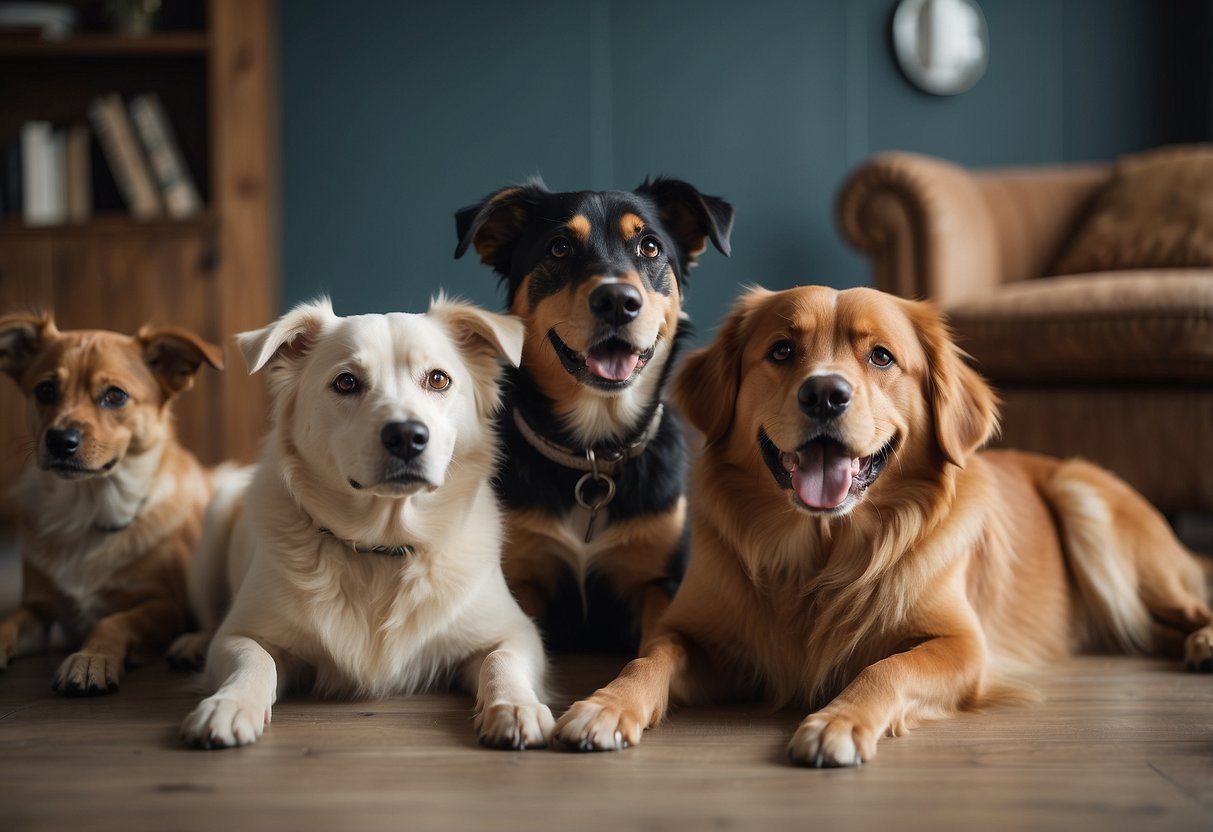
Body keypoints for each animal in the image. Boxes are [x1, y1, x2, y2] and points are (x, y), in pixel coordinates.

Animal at [0, 312, 223, 698]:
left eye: (115, 396)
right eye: (45, 390)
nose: (60, 440)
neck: (88, 509)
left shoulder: (164, 605)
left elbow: (114, 620)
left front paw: (92, 658)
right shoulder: (38, 607)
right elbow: (8, 620)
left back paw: (194, 645)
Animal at [175, 298, 555, 751]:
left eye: (438, 379)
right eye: (346, 382)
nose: (407, 436)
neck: (383, 545)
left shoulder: (516, 631)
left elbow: (502, 658)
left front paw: (514, 706)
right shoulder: (240, 633)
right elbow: (254, 658)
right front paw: (230, 704)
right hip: (212, 529)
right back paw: (192, 641)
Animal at [456, 179, 732, 654]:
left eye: (650, 246)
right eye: (560, 247)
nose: (618, 301)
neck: (594, 451)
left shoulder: (659, 581)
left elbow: (653, 652)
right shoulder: (523, 577)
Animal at [555, 286, 1213, 771]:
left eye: (881, 356)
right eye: (782, 351)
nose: (825, 394)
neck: (820, 558)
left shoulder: (963, 646)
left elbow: (887, 666)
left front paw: (838, 721)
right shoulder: (693, 632)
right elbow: (650, 658)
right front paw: (606, 704)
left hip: (1088, 504)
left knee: (1187, 605)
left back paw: (1204, 644)